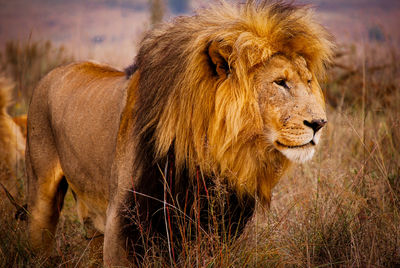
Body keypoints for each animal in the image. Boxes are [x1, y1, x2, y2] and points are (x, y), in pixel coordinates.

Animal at [25, 0, 334, 266]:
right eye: (280, 82)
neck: (208, 155)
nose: (319, 123)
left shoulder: (216, 228)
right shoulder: (122, 222)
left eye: (309, 81)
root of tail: (52, 72)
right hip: (42, 191)